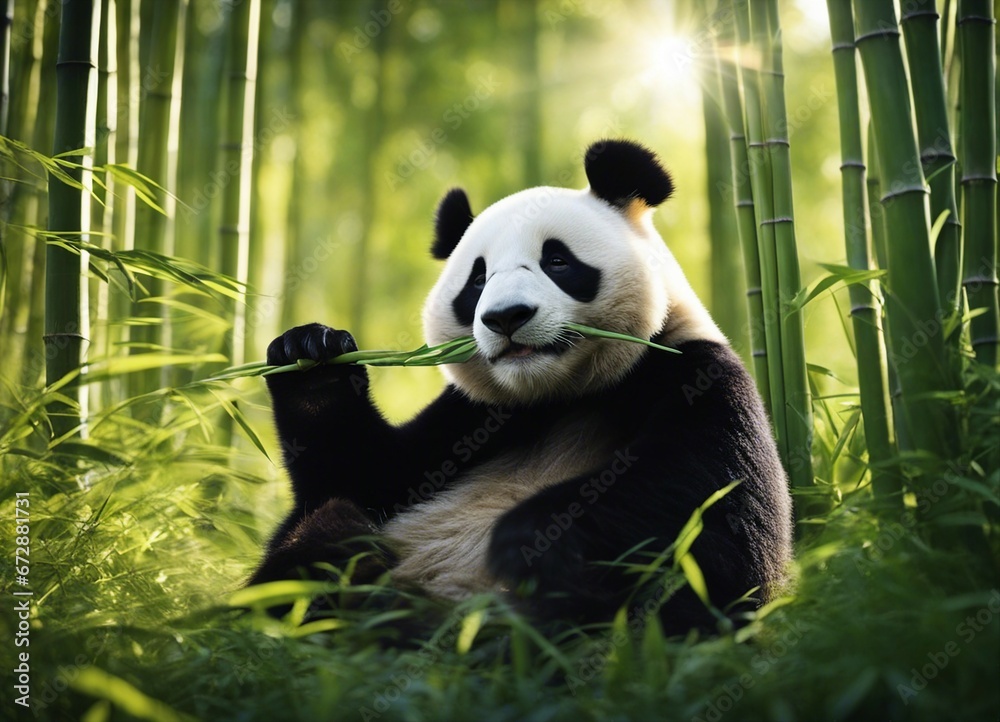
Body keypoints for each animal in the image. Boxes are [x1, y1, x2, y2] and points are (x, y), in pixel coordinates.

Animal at [248, 139, 793, 634]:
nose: (506, 317)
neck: (562, 395)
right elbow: (358, 473)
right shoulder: (471, 419)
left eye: (557, 261)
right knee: (320, 538)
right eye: (477, 279)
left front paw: (529, 537)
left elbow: (714, 515)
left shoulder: (692, 373)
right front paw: (309, 357)